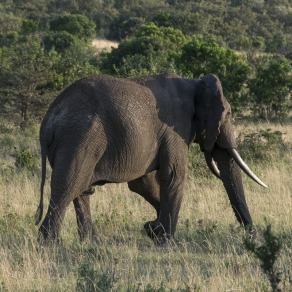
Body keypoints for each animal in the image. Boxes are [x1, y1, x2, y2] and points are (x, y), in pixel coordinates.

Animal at [34, 72, 266, 244]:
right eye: (228, 114)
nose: (251, 237)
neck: (194, 83)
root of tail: (48, 121)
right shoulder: (175, 128)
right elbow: (174, 176)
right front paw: (167, 242)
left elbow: (143, 183)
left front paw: (153, 229)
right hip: (79, 138)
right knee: (68, 186)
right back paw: (50, 244)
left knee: (81, 190)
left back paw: (91, 242)